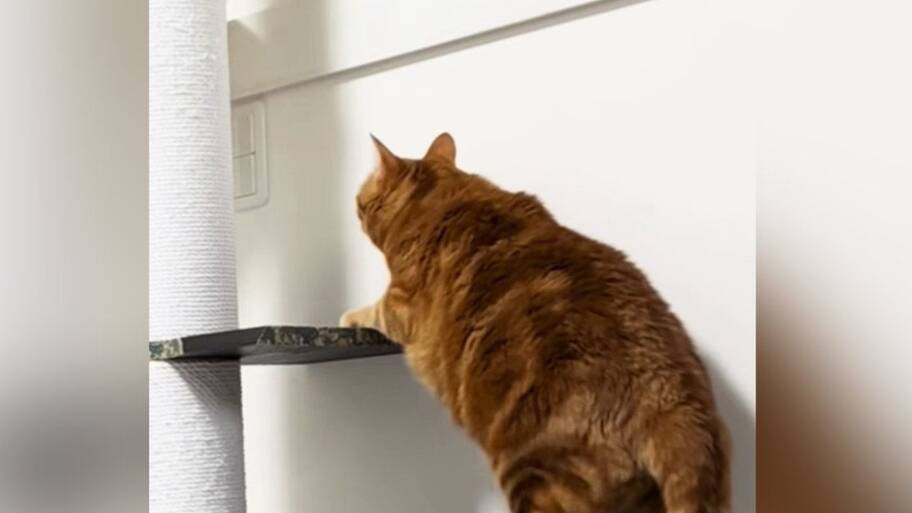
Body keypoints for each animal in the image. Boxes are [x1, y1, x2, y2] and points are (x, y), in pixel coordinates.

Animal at [340, 133, 731, 513]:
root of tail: (678, 407)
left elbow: (371, 311)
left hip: (535, 474)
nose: (355, 207)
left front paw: (346, 316)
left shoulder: (401, 303)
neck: (441, 198)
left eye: (360, 198)